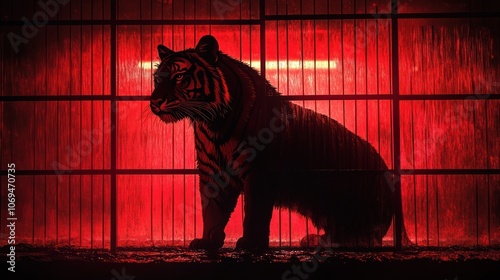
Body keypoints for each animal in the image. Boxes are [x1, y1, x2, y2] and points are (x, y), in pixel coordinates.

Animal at [149, 34, 410, 250]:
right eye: (156, 79)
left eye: (179, 77)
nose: (154, 102)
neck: (213, 125)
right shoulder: (212, 172)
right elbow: (213, 211)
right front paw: (208, 241)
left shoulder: (258, 172)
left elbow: (255, 211)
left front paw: (251, 243)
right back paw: (315, 240)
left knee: (366, 237)